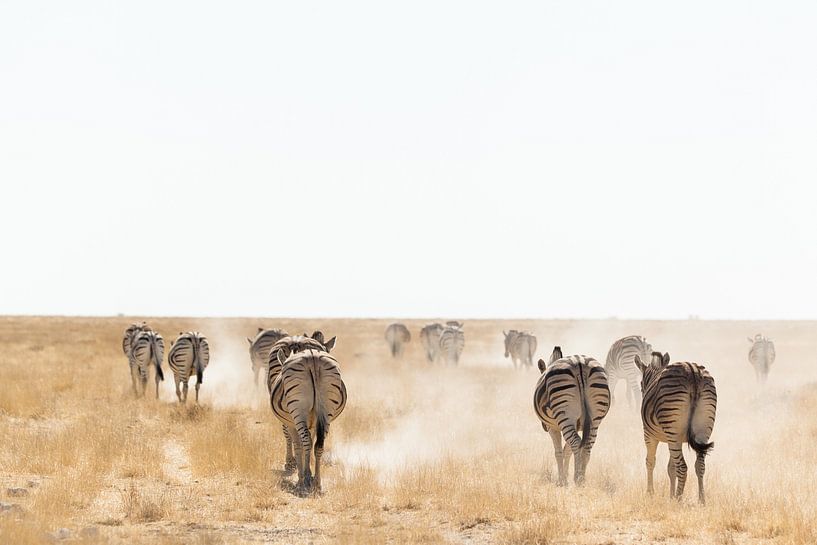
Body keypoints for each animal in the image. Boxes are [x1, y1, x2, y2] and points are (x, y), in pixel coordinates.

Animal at [269, 348, 347, 494]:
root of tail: (312, 356)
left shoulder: (291, 424)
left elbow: (298, 445)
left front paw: (301, 475)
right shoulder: (314, 424)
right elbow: (310, 445)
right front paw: (308, 473)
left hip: (298, 410)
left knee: (305, 441)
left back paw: (303, 481)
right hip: (326, 411)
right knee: (319, 445)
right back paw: (317, 483)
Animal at [534, 346, 610, 486]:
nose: (543, 427)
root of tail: (579, 362)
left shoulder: (553, 427)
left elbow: (559, 452)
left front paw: (562, 481)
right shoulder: (577, 425)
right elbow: (567, 450)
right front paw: (565, 476)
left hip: (565, 416)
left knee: (576, 442)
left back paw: (577, 478)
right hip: (594, 418)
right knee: (586, 444)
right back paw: (582, 478)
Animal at [634, 352, 717, 504]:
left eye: (642, 385)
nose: (643, 391)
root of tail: (693, 371)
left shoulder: (648, 435)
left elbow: (650, 461)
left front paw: (650, 493)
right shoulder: (673, 439)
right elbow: (671, 468)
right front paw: (670, 495)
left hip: (672, 430)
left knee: (683, 467)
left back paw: (678, 500)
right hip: (702, 430)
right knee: (699, 466)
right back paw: (701, 500)